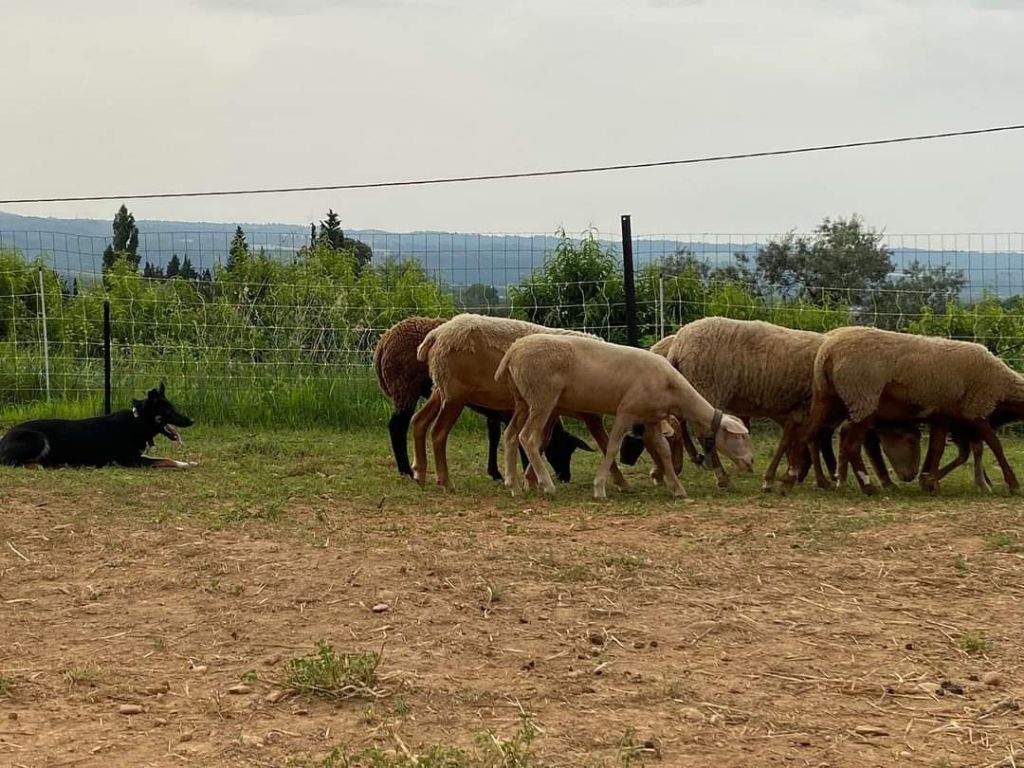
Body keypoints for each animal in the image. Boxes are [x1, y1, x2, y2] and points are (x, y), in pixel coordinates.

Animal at [0, 382, 193, 468]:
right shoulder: (132, 461)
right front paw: (183, 464)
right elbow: (163, 460)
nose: (191, 421)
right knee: (10, 461)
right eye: (169, 412)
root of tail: (4, 438)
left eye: (173, 408)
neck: (137, 422)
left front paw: (188, 461)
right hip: (38, 439)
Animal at [372, 315, 589, 483]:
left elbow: (494, 437)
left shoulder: (496, 411)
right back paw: (407, 470)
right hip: (406, 388)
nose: (565, 477)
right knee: (398, 426)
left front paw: (496, 472)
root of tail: (383, 342)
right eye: (564, 449)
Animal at [495, 335, 753, 499]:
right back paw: (547, 485)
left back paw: (513, 486)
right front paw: (600, 488)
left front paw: (676, 488)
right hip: (542, 398)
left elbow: (663, 450)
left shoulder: (651, 418)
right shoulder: (626, 411)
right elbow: (612, 446)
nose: (751, 461)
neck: (673, 390)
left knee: (510, 436)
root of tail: (513, 351)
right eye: (738, 438)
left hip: (523, 400)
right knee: (528, 438)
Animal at [778, 325, 1024, 495]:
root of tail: (827, 352)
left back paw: (790, 479)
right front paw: (1013, 484)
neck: (1005, 385)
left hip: (827, 397)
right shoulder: (977, 408)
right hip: (863, 397)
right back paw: (867, 486)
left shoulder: (943, 413)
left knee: (808, 434)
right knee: (850, 444)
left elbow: (937, 448)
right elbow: (996, 445)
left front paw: (929, 481)